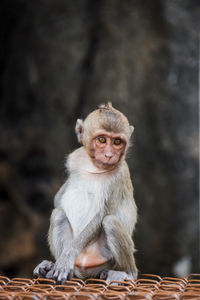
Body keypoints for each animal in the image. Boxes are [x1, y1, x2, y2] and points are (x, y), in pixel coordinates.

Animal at [33, 102, 138, 284]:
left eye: (117, 142)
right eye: (102, 139)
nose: (109, 155)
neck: (95, 167)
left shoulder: (120, 175)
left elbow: (101, 216)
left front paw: (68, 256)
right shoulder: (75, 159)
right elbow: (57, 200)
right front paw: (59, 261)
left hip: (106, 261)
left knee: (110, 222)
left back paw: (128, 273)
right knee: (58, 214)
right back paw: (52, 266)